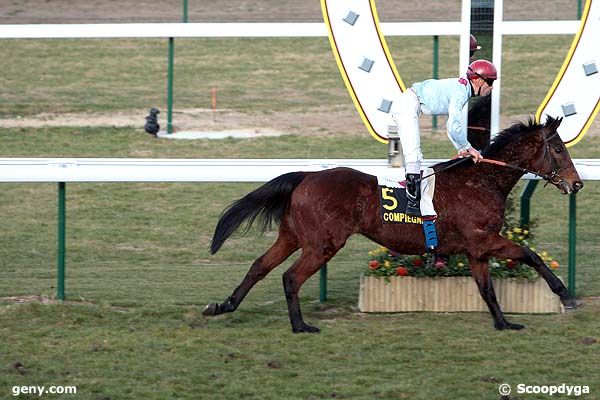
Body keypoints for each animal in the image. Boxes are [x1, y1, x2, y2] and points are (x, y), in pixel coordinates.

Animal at [204, 116, 584, 334]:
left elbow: (487, 288)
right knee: (290, 277)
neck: (482, 181)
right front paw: (565, 295)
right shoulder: (485, 240)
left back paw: (223, 305)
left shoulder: (476, 250)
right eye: (559, 150)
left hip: (293, 236)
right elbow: (531, 256)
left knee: (259, 266)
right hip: (323, 243)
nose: (577, 184)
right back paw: (300, 325)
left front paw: (504, 322)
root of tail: (306, 176)